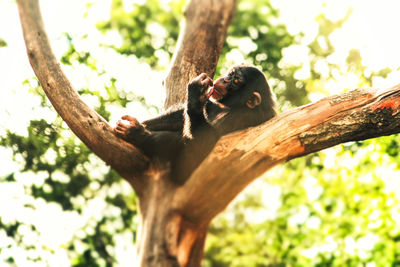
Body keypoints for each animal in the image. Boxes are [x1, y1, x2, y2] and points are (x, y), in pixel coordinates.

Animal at [112, 63, 276, 183]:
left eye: (236, 81)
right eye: (231, 74)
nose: (225, 79)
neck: (230, 107)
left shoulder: (243, 118)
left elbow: (203, 143)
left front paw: (196, 91)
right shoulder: (213, 105)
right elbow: (180, 115)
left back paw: (137, 134)